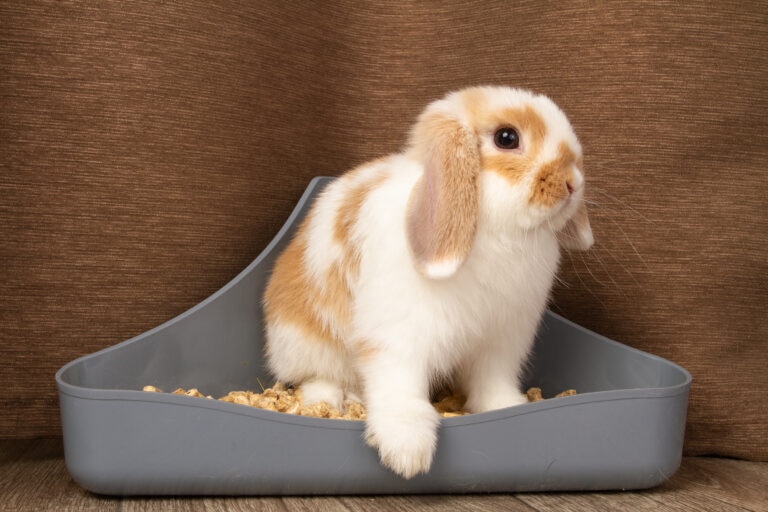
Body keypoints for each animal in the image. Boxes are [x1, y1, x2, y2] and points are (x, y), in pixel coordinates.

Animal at [262, 86, 593, 479]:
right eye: (507, 138)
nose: (572, 184)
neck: (494, 229)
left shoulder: (501, 341)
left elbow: (492, 382)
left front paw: (506, 407)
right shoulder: (397, 336)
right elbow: (400, 386)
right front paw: (406, 452)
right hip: (305, 344)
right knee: (317, 378)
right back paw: (330, 402)